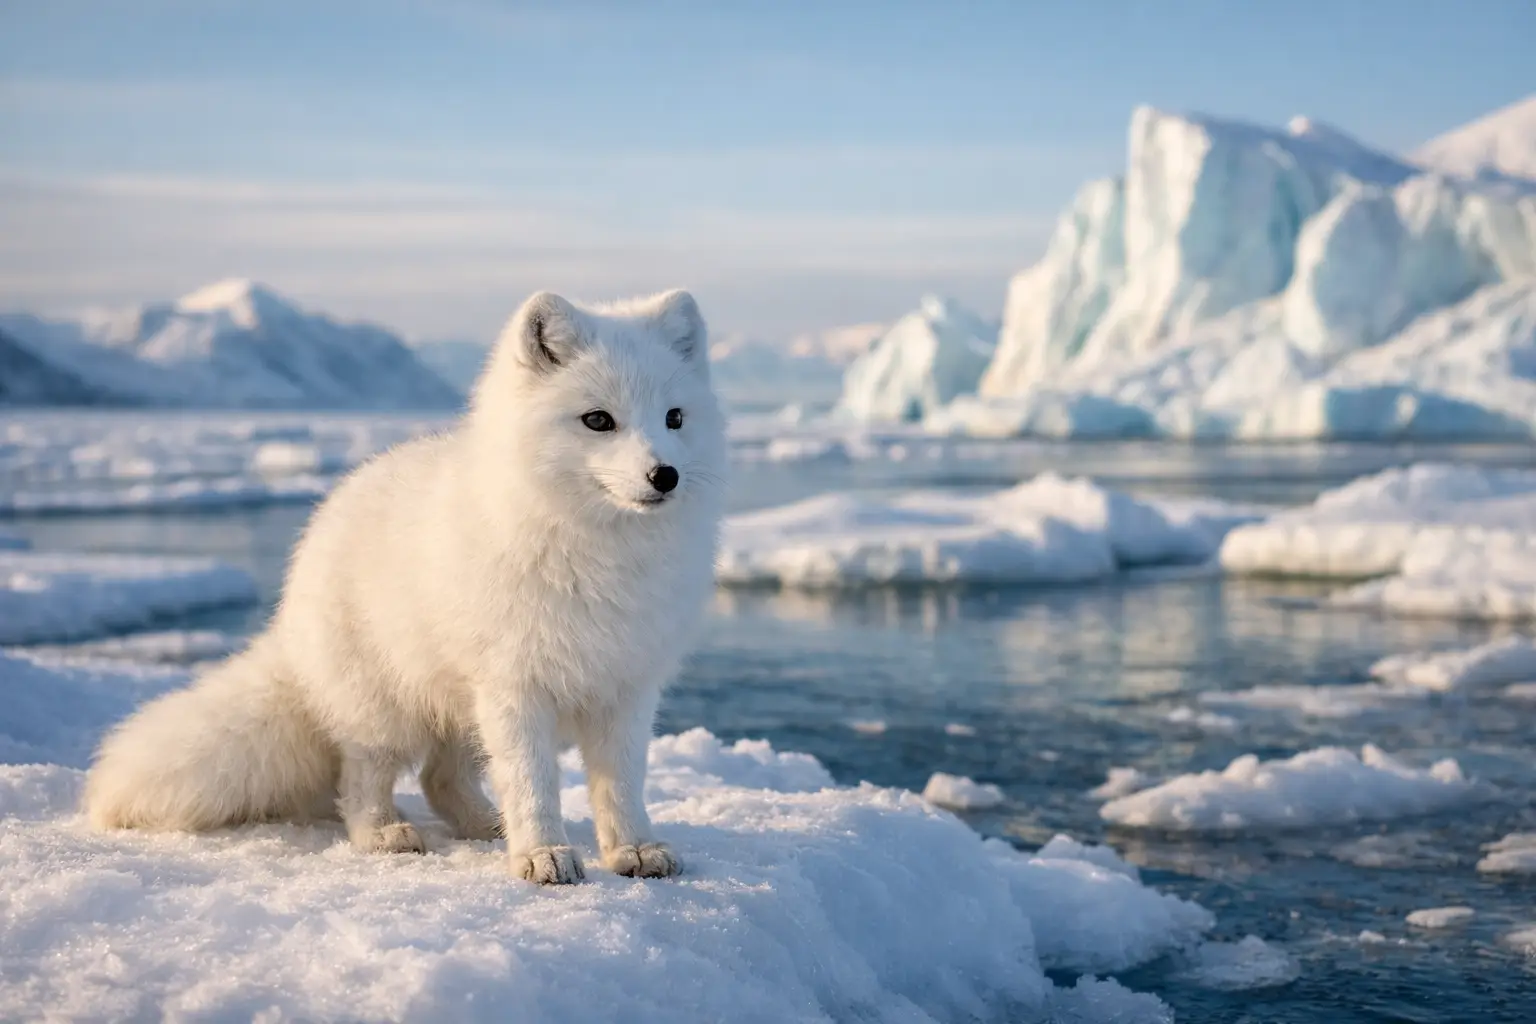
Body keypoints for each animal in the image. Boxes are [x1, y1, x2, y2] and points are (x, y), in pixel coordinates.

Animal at [83, 288, 727, 885]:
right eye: (598, 420)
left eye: (674, 418)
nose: (664, 476)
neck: (597, 550)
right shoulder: (514, 686)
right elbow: (531, 781)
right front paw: (543, 854)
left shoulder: (627, 686)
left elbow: (621, 784)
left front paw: (633, 849)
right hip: (384, 709)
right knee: (360, 776)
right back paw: (384, 834)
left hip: (460, 707)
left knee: (440, 779)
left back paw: (485, 826)